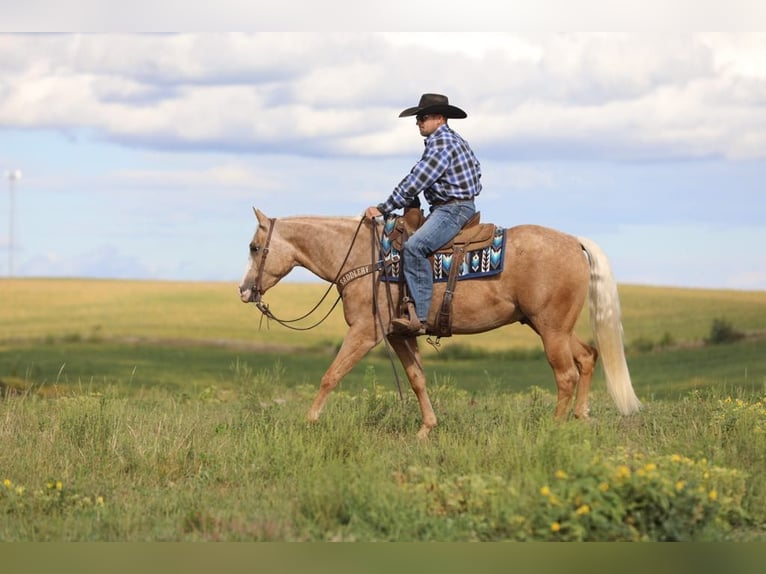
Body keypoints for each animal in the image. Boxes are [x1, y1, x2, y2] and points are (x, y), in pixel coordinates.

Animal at [240, 209, 640, 438]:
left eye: (255, 247)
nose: (244, 290)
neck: (365, 259)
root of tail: (574, 242)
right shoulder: (399, 334)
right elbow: (417, 378)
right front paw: (426, 428)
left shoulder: (365, 332)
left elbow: (331, 375)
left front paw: (308, 421)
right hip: (551, 327)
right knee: (587, 357)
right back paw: (581, 417)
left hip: (551, 329)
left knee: (566, 374)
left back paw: (555, 427)